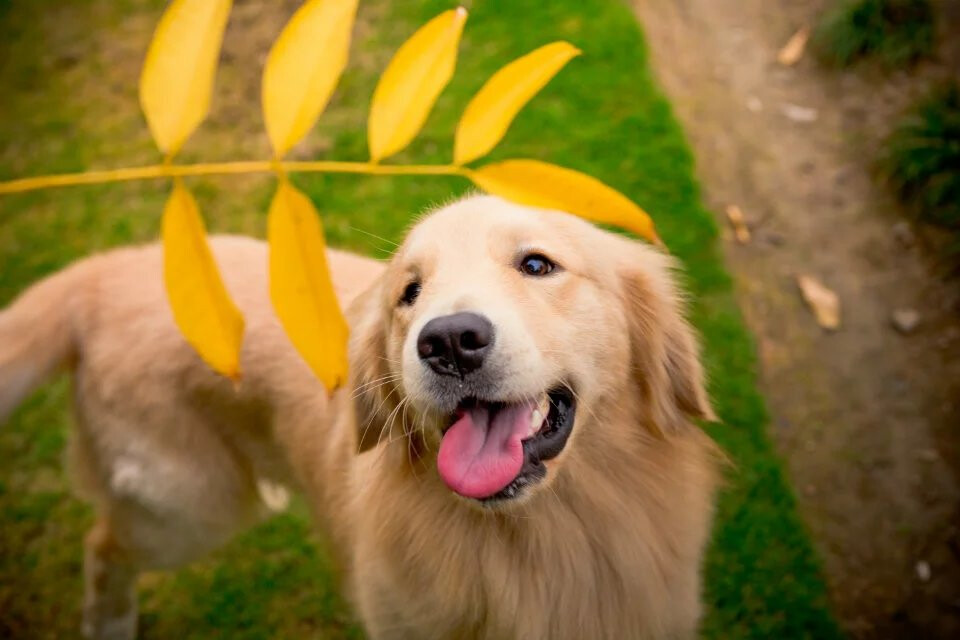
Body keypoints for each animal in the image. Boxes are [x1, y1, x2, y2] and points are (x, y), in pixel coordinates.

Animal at [0, 195, 716, 640]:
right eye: (410, 292)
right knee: (103, 547)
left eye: (537, 264)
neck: (542, 541)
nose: (448, 341)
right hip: (193, 504)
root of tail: (103, 270)